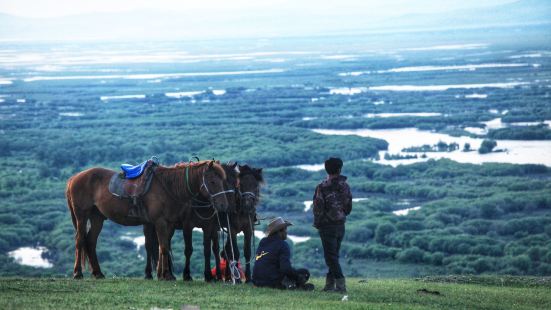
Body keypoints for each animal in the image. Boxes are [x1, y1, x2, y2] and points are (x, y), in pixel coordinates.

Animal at [67, 161, 231, 280]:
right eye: (212, 181)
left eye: (223, 180)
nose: (223, 205)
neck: (168, 187)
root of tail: (74, 178)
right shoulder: (160, 222)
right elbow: (163, 247)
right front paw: (167, 275)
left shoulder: (168, 224)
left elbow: (161, 247)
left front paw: (162, 274)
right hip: (81, 216)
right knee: (80, 240)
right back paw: (78, 273)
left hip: (97, 218)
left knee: (91, 241)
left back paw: (98, 273)